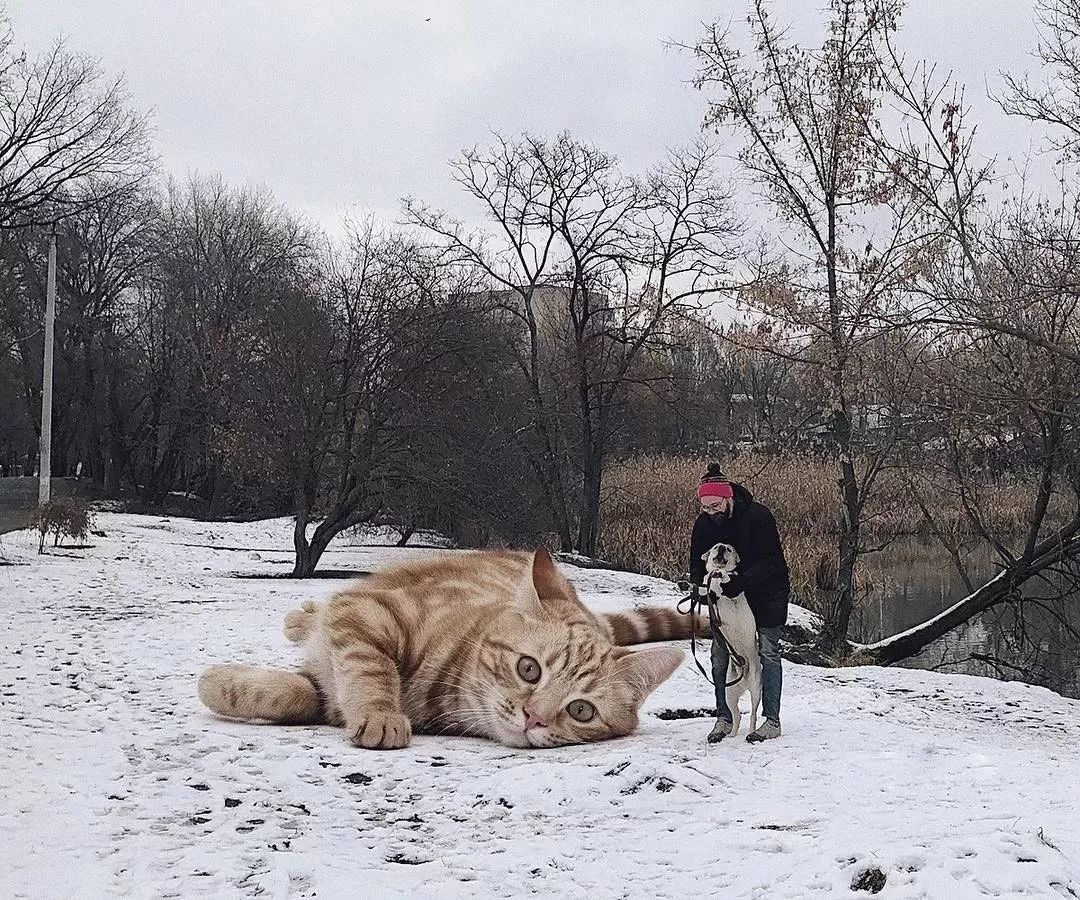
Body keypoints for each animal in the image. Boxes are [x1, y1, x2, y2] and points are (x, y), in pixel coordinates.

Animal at [198, 551, 695, 747]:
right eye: (529, 669)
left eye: (581, 711)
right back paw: (301, 617)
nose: (533, 718)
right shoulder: (369, 611)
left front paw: (220, 683)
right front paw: (380, 714)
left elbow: (300, 694)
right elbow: (366, 669)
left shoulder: (329, 686)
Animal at [699, 540, 760, 739]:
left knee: (753, 715)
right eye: (715, 546)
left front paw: (723, 575)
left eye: (729, 548)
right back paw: (731, 734)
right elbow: (704, 585)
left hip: (756, 690)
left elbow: (729, 578)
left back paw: (752, 732)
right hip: (729, 693)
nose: (721, 547)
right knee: (737, 715)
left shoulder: (733, 588)